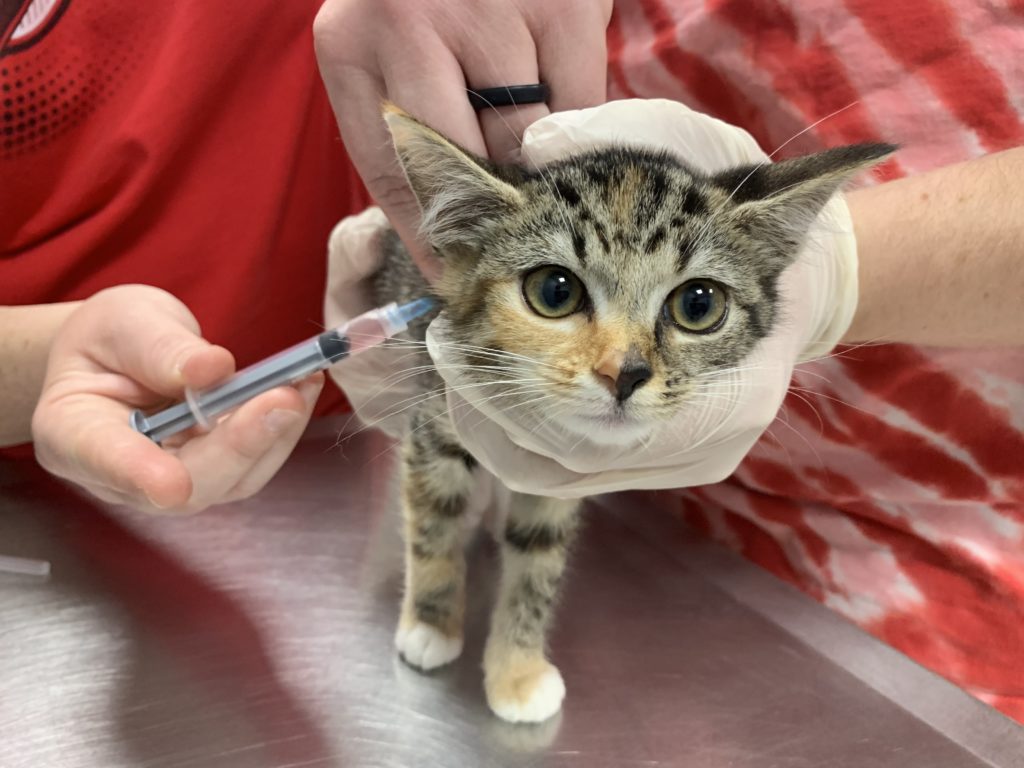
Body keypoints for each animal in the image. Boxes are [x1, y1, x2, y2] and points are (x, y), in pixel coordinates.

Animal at [372, 105, 892, 724]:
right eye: (554, 291)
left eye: (698, 304)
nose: (624, 373)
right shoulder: (437, 409)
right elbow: (434, 519)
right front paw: (431, 622)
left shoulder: (561, 474)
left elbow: (539, 557)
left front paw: (517, 669)